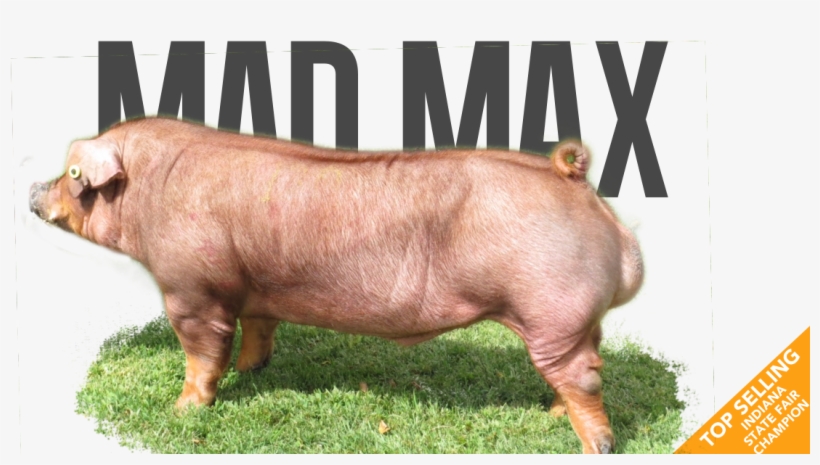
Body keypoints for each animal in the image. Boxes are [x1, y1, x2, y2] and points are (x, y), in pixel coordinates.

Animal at [29, 117, 643, 454]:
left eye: (72, 174)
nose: (33, 188)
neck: (148, 190)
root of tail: (570, 175)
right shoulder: (256, 287)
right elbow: (258, 328)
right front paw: (252, 372)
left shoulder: (191, 290)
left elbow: (201, 353)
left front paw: (184, 411)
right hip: (573, 321)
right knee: (586, 363)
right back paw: (552, 416)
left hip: (550, 309)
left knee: (584, 377)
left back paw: (596, 445)